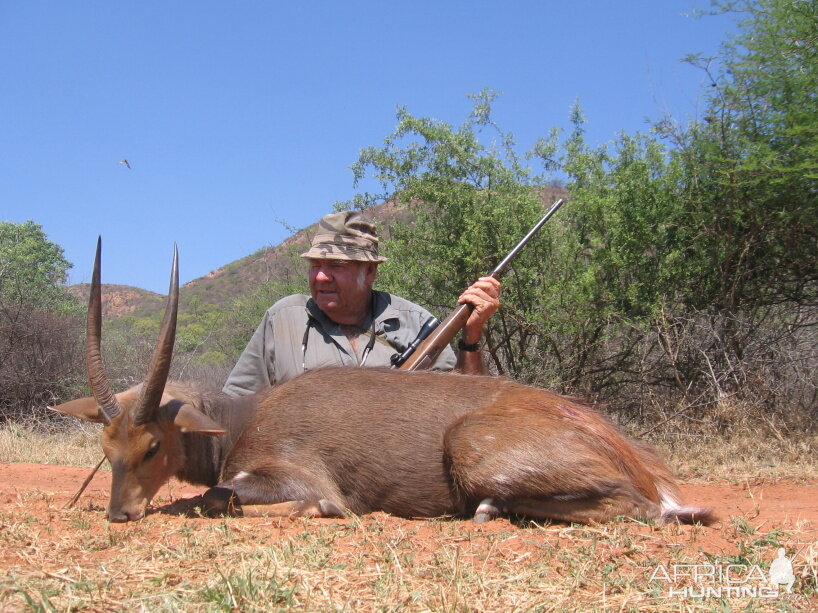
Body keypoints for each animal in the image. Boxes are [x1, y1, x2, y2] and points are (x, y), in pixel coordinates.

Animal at [52, 239, 712, 524]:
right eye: (106, 447)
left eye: (153, 445)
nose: (118, 514)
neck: (246, 417)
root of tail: (632, 456)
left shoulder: (293, 476)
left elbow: (223, 495)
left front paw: (316, 512)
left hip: (472, 449)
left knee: (641, 509)